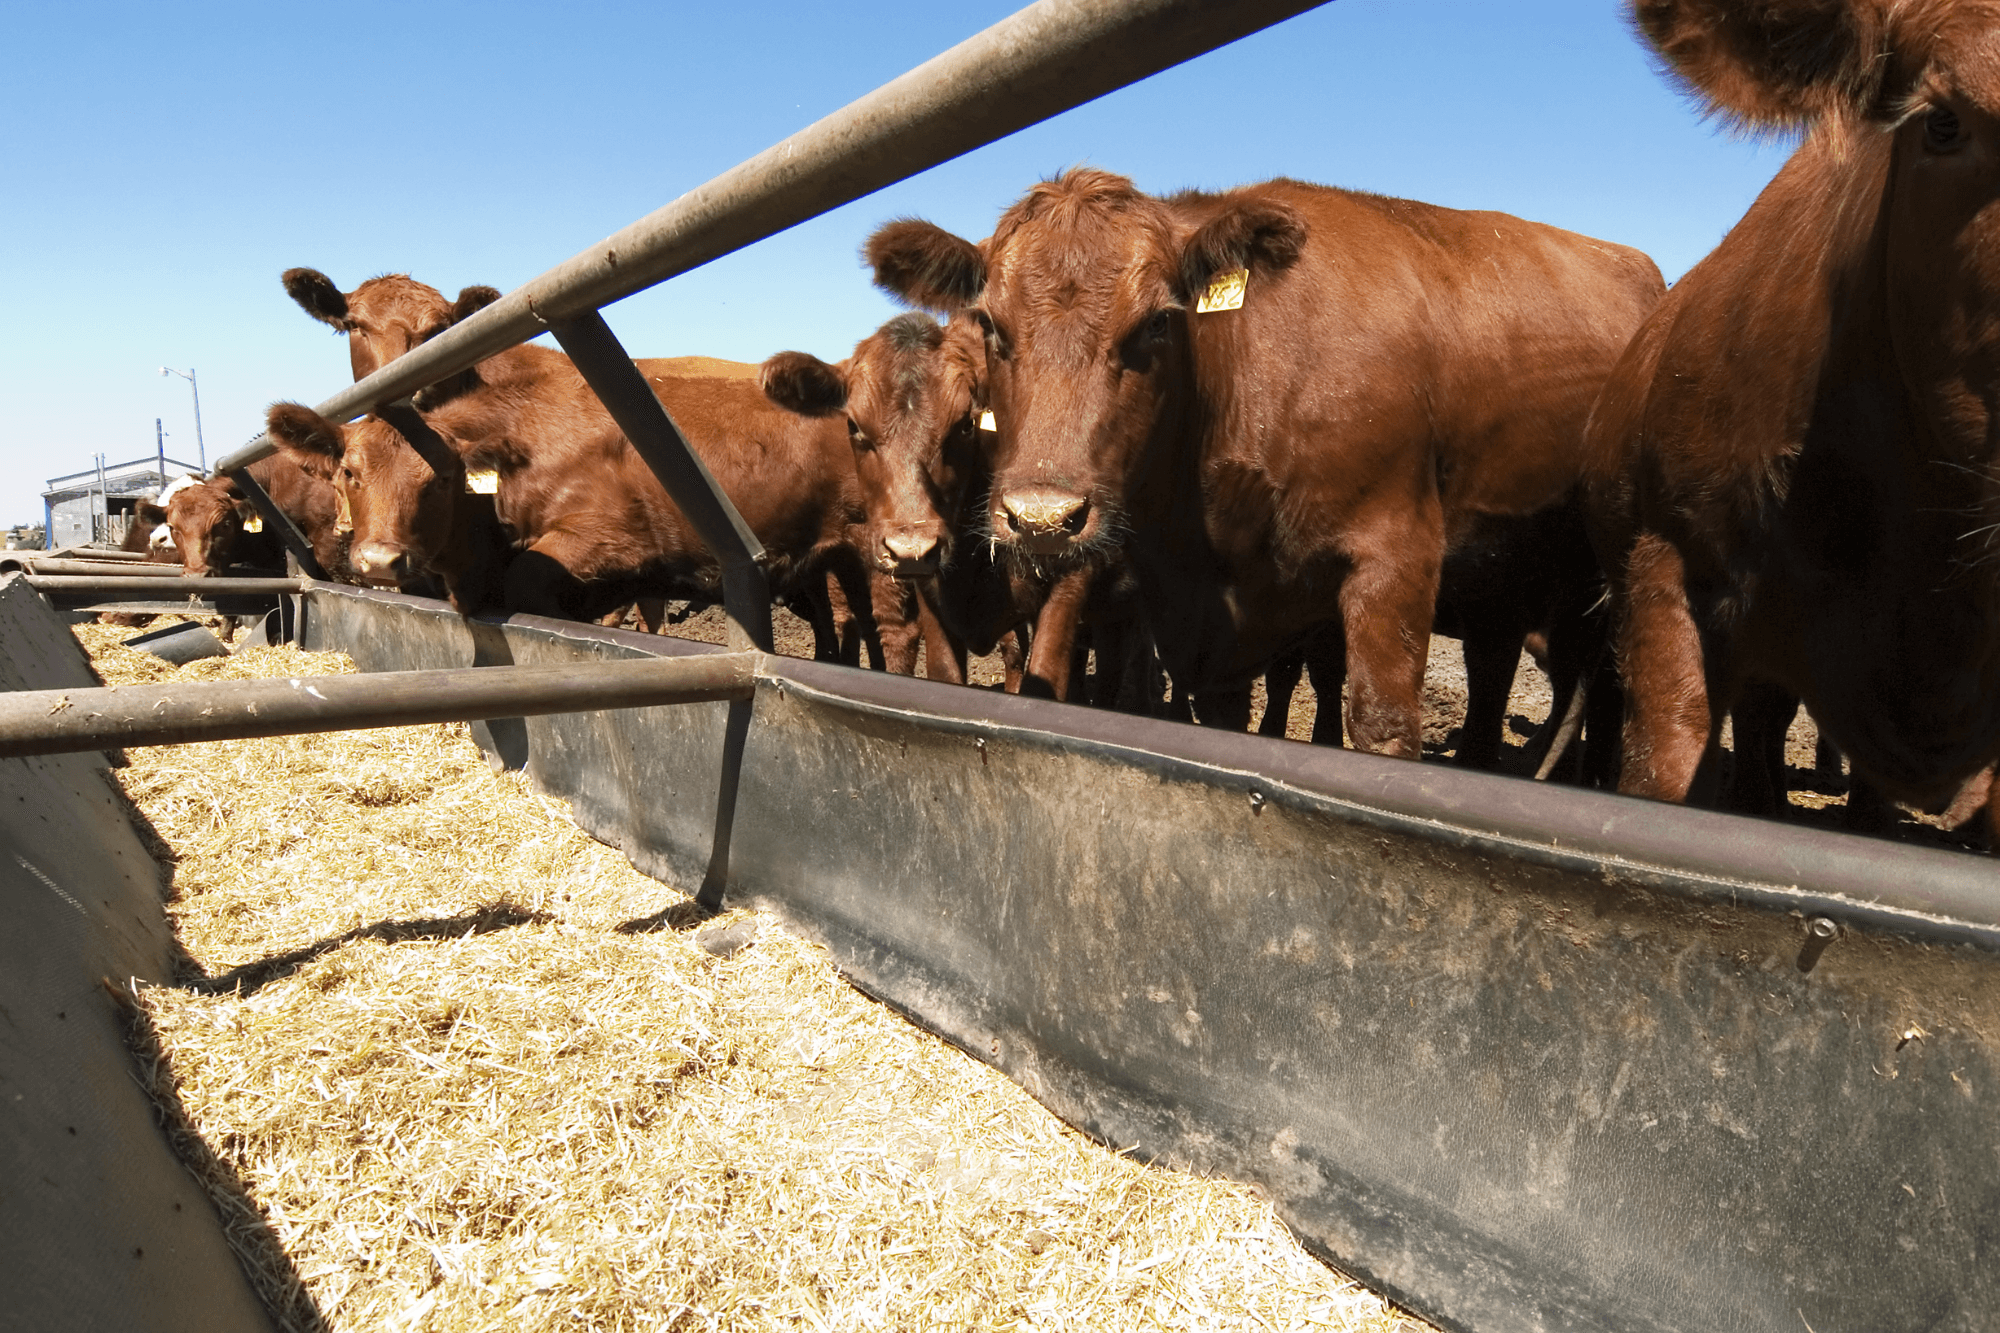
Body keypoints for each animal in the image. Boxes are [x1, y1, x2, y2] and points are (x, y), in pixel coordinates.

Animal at [868, 166, 1664, 756]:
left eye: (1158, 323)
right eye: (991, 326)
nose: (1041, 519)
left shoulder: (1394, 560)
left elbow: (1379, 726)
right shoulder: (1205, 627)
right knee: (1495, 674)